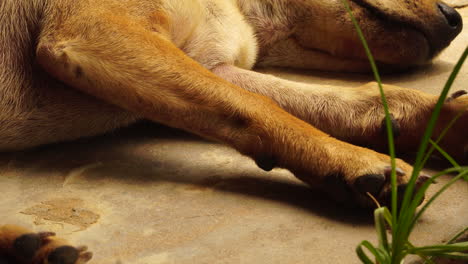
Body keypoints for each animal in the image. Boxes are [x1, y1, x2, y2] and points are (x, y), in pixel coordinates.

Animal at [0, 0, 466, 262]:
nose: (454, 19)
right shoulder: (95, 31)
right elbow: (262, 107)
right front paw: (355, 160)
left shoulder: (215, 66)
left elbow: (340, 101)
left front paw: (448, 122)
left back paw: (30, 249)